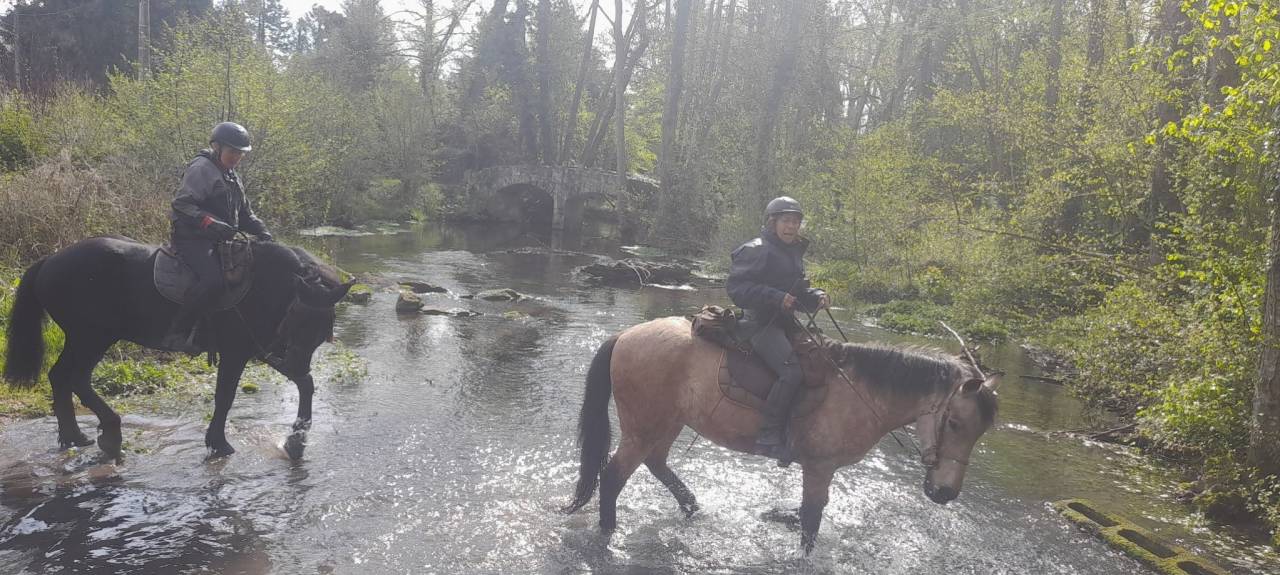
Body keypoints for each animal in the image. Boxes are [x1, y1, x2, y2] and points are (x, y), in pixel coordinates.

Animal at [3, 236, 353, 461]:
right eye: (297, 317)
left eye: (320, 331)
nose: (293, 361)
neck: (263, 286)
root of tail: (50, 260)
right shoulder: (238, 351)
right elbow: (225, 397)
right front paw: (219, 443)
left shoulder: (263, 349)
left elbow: (306, 384)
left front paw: (297, 438)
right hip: (91, 336)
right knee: (73, 378)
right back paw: (109, 433)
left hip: (86, 338)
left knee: (62, 377)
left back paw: (75, 436)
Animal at [564, 316, 1001, 552]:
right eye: (955, 423)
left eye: (982, 433)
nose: (944, 493)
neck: (860, 391)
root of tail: (625, 336)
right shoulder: (820, 466)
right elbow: (812, 517)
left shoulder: (820, 469)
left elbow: (808, 512)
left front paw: (774, 515)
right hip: (643, 427)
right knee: (613, 478)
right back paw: (608, 532)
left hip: (669, 422)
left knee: (656, 464)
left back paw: (693, 508)